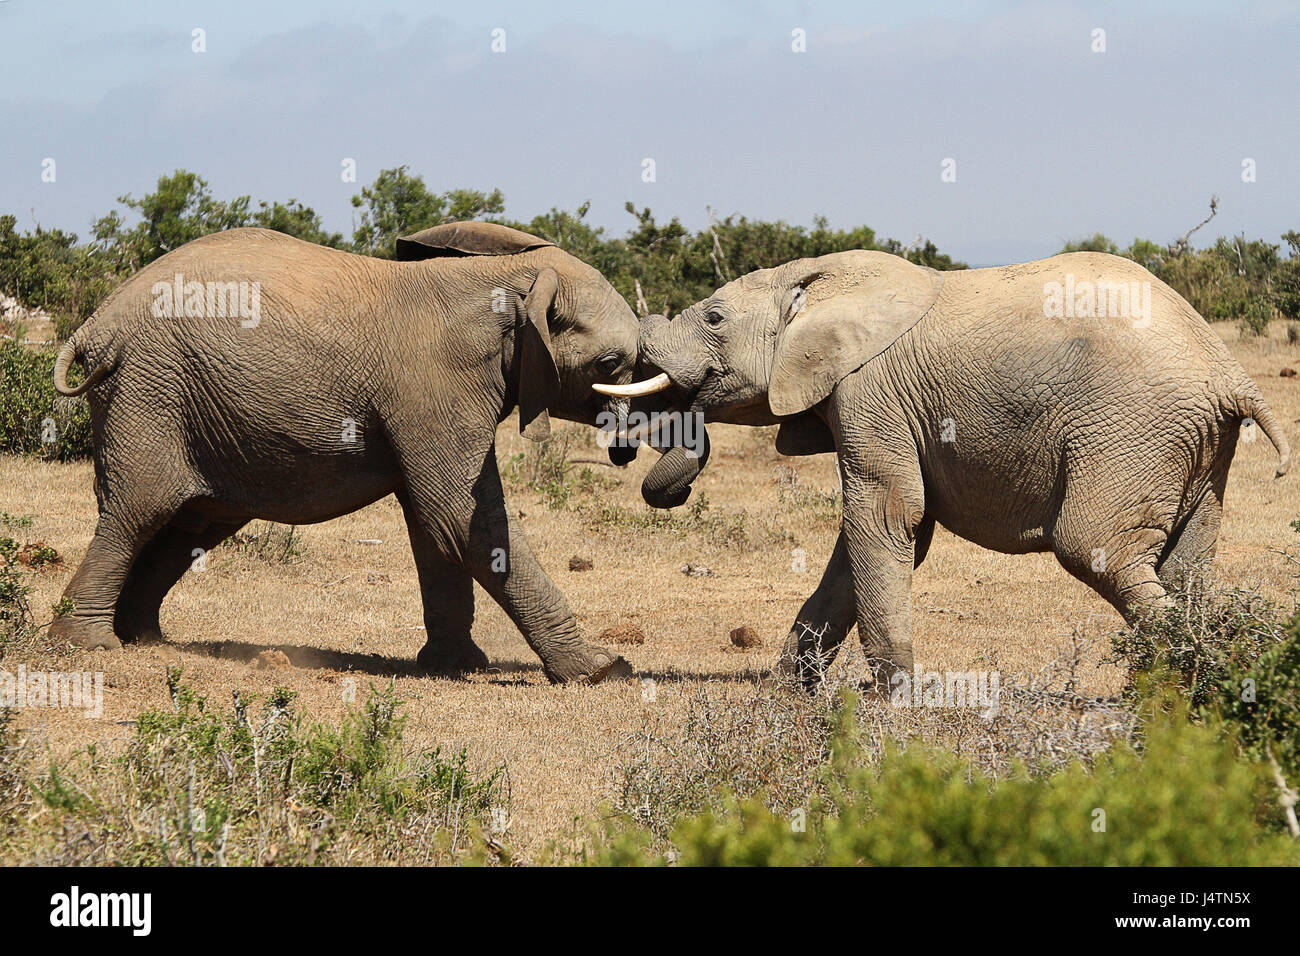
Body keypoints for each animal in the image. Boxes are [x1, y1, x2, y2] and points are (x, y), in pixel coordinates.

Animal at [49, 221, 650, 686]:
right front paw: (601, 670)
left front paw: (458, 666)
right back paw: (89, 643)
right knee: (136, 511)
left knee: (193, 523)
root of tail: (91, 326)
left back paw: (146, 638)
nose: (624, 453)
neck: (509, 281)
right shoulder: (437, 382)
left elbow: (436, 526)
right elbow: (459, 517)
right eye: (609, 364)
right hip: (147, 390)